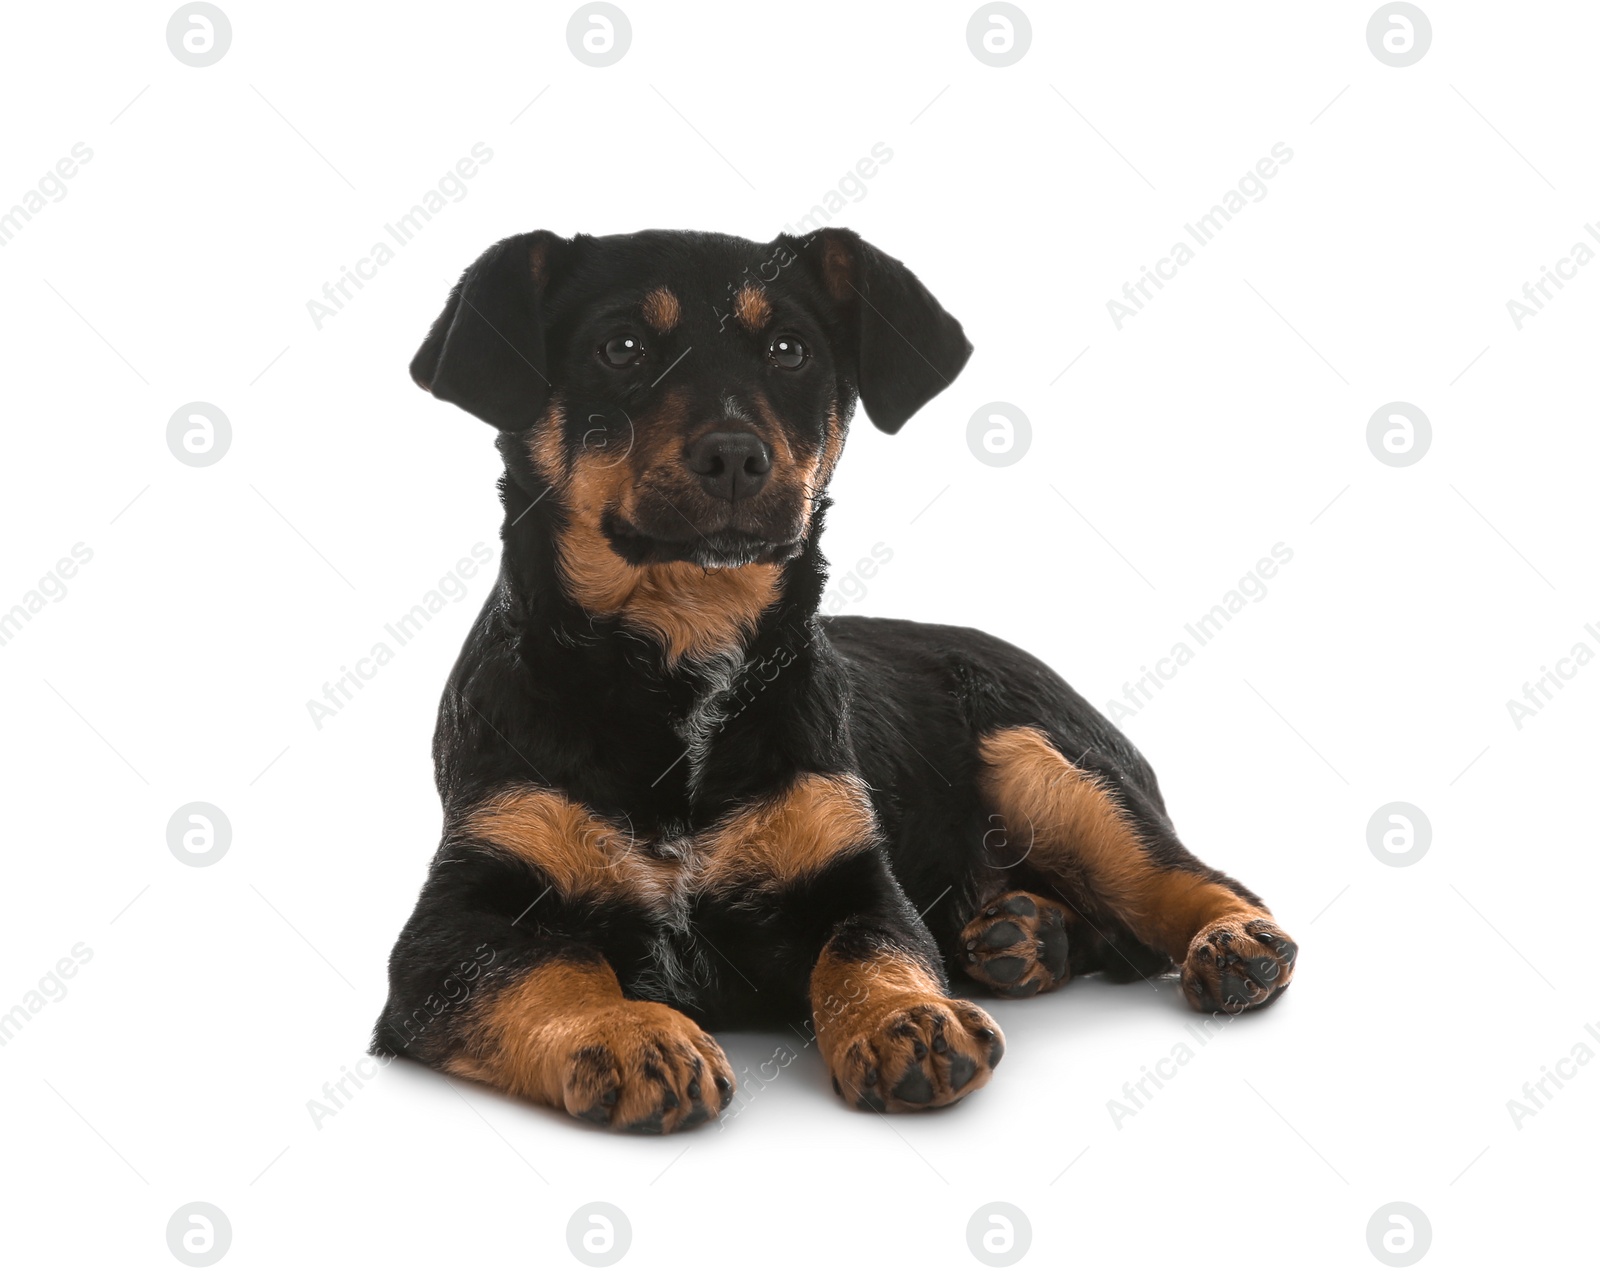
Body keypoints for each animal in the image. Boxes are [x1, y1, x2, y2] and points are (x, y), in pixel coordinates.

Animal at [368, 227, 1292, 1126]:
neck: (686, 649)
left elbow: (869, 947)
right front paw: (634, 1034)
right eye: (621, 346)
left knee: (1184, 879)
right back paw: (1027, 936)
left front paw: (909, 1020)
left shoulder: (854, 871)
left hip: (1044, 760)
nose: (735, 455)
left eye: (789, 348)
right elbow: (552, 966)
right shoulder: (454, 923)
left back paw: (1231, 943)